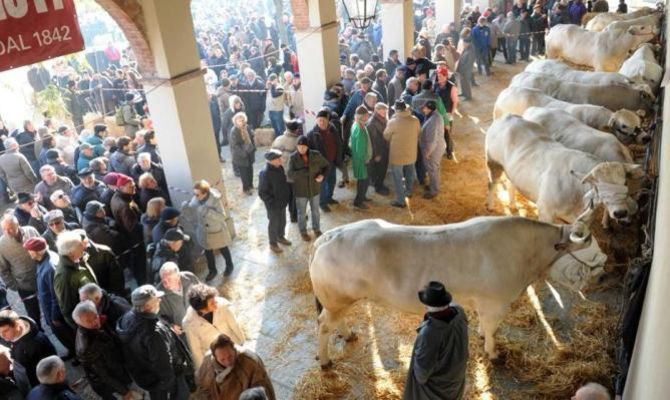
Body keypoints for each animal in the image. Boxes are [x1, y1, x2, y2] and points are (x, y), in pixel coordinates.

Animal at [312, 214, 608, 368]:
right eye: (593, 256)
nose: (605, 274)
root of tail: (329, 235)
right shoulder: (495, 302)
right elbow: (492, 328)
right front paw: (493, 353)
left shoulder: (482, 301)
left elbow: (484, 325)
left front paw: (481, 336)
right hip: (336, 299)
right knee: (324, 325)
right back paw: (326, 360)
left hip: (341, 300)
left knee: (337, 321)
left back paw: (348, 334)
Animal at [488, 114, 644, 223]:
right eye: (599, 186)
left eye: (625, 183)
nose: (621, 213)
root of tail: (509, 116)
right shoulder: (545, 210)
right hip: (492, 163)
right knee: (492, 183)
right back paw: (490, 206)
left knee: (510, 183)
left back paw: (513, 205)